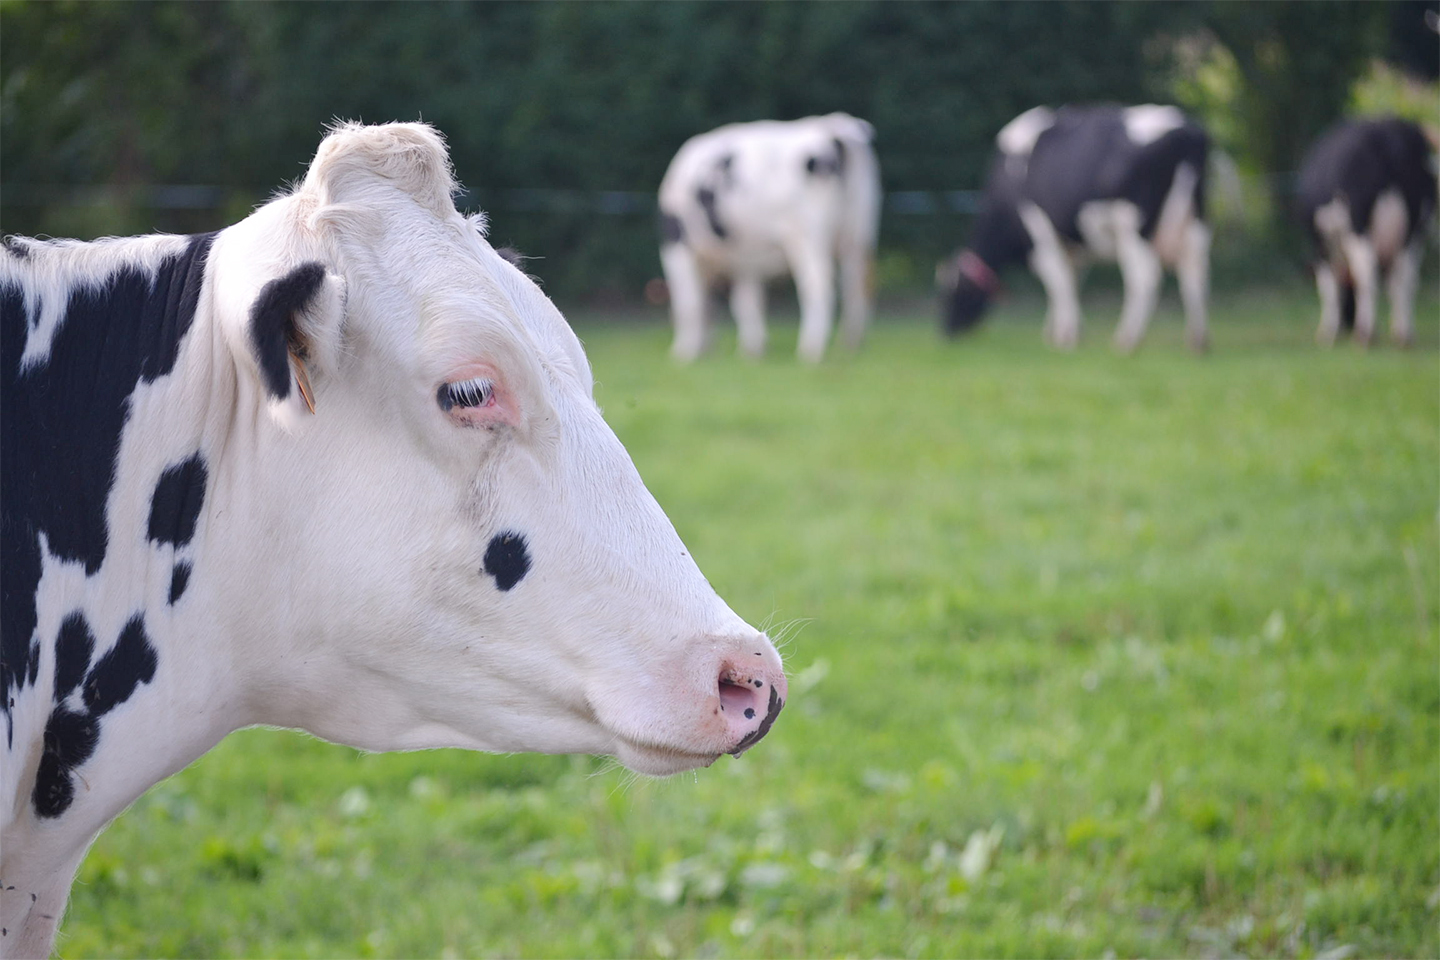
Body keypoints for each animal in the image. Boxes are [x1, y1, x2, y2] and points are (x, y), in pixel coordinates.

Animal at [657, 113, 881, 363]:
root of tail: (834, 126)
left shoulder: (676, 245)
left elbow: (689, 302)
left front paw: (684, 353)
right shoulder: (746, 258)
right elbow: (746, 302)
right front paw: (751, 350)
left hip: (808, 236)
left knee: (818, 286)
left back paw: (811, 351)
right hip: (858, 237)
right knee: (858, 286)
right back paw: (850, 346)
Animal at [938, 104, 1212, 352]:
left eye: (954, 291)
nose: (946, 332)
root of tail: (1187, 131)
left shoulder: (1041, 231)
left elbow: (1057, 282)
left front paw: (1065, 337)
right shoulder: (1072, 244)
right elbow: (1071, 282)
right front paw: (1062, 331)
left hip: (1132, 225)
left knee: (1144, 277)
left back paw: (1127, 340)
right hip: (1196, 221)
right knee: (1195, 273)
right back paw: (1197, 341)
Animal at [1294, 116, 1436, 348]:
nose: (1348, 323)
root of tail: (1390, 131)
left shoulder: (1318, 244)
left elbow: (1328, 287)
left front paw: (1328, 333)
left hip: (1359, 224)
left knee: (1367, 272)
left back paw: (1365, 335)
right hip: (1415, 230)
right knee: (1406, 277)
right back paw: (1403, 335)